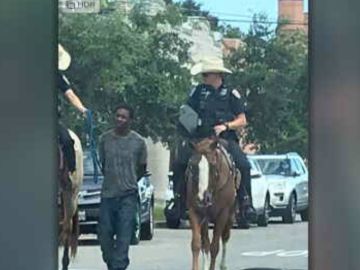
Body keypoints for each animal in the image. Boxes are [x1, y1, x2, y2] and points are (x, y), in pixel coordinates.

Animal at [187, 137, 240, 270]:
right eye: (193, 166)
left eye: (213, 165)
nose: (202, 198)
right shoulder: (194, 211)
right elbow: (196, 244)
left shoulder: (222, 214)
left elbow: (215, 246)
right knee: (205, 243)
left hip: (230, 217)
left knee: (225, 237)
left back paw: (223, 265)